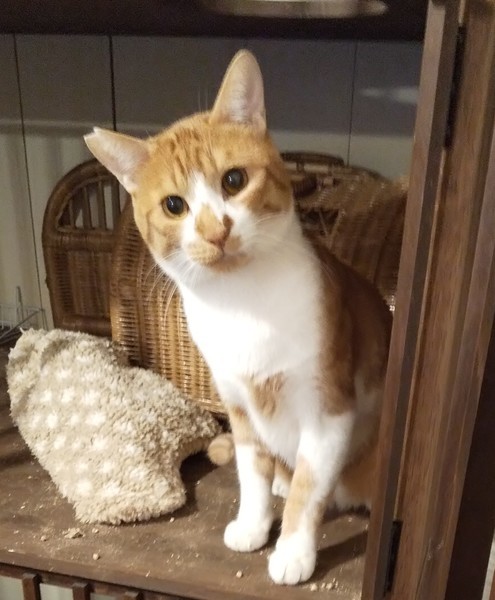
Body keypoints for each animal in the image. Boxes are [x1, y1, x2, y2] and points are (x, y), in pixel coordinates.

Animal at [84, 49, 391, 585]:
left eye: (234, 180)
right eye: (174, 205)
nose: (215, 230)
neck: (243, 304)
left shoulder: (328, 412)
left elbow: (310, 490)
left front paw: (292, 551)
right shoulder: (241, 408)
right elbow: (251, 475)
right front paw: (253, 524)